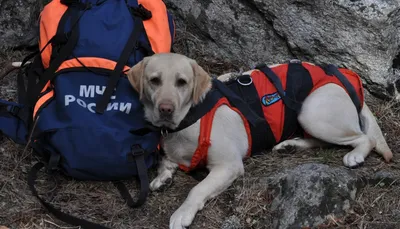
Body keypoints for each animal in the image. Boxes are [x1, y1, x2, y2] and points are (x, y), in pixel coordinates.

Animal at [126, 52, 392, 229]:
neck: (189, 118)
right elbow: (166, 162)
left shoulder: (229, 165)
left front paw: (182, 213)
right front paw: (163, 177)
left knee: (363, 137)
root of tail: (348, 81)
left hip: (312, 113)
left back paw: (355, 155)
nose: (166, 109)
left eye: (182, 82)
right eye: (154, 80)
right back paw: (290, 145)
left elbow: (197, 188)